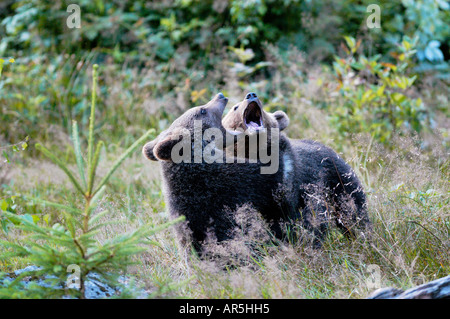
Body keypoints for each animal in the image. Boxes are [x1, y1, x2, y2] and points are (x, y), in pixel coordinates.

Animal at [222, 92, 372, 242]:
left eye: (263, 108)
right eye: (235, 107)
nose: (251, 95)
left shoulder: (287, 180)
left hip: (338, 180)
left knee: (352, 209)